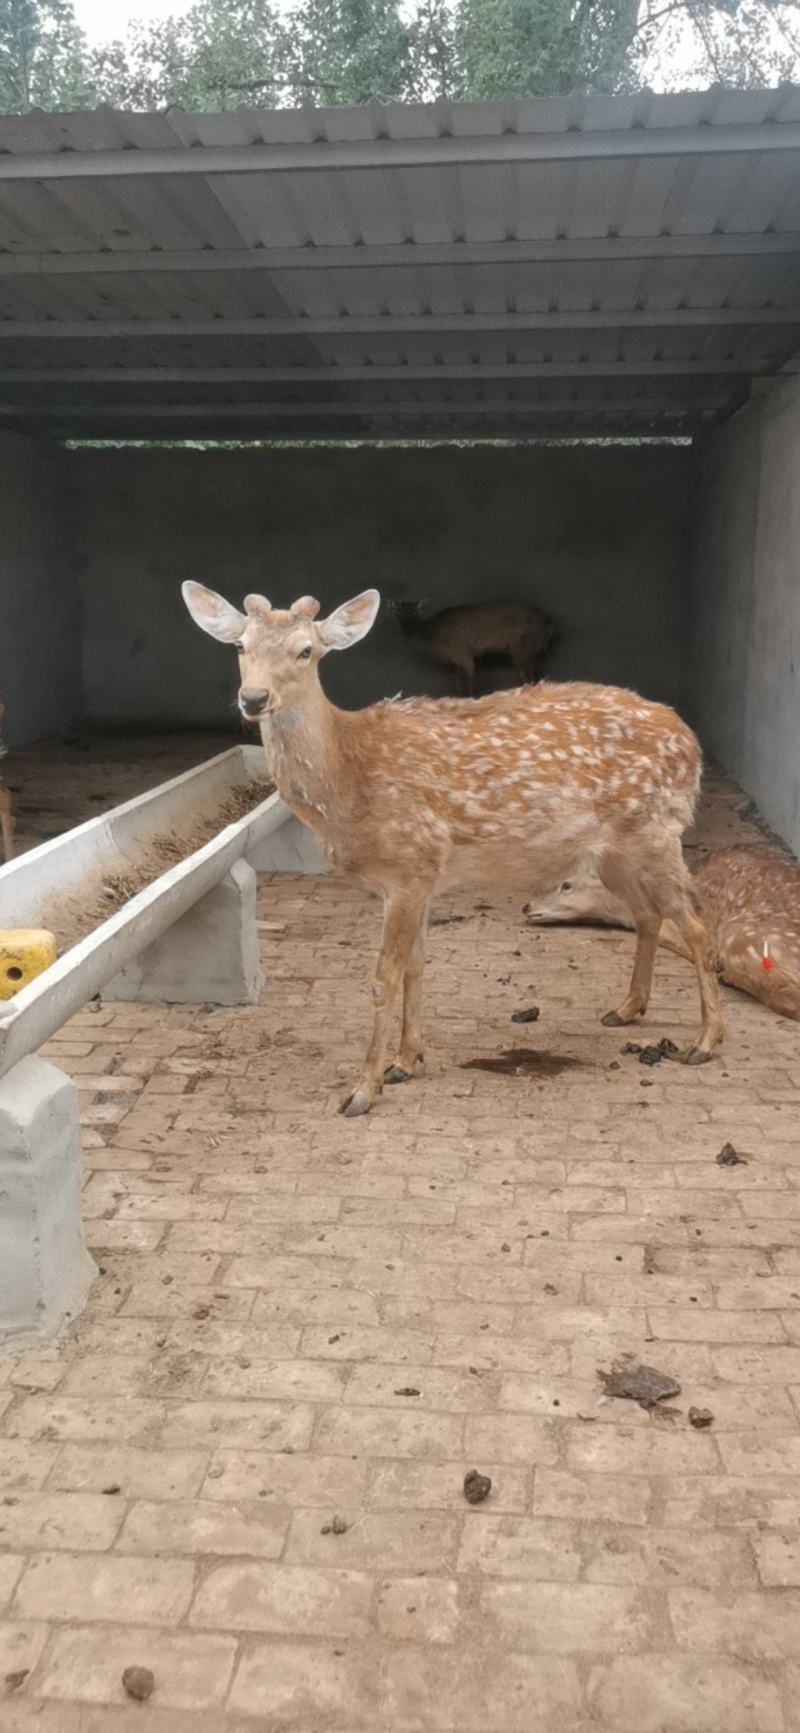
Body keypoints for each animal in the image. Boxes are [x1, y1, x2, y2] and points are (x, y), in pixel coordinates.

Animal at [390, 597, 556, 695]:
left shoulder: (464, 653)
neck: (433, 632)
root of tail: (548, 625)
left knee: (529, 675)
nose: (406, 629)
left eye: (415, 612)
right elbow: (459, 682)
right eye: (398, 613)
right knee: (536, 674)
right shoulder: (455, 660)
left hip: (522, 647)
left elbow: (470, 679)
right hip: (529, 650)